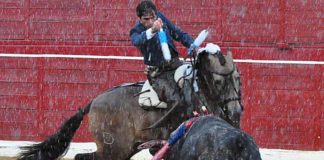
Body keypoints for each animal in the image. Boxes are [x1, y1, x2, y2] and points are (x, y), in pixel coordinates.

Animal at [16, 49, 242, 159]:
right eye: (218, 81)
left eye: (238, 78)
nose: (235, 111)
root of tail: (93, 102)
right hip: (114, 150)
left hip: (125, 149)